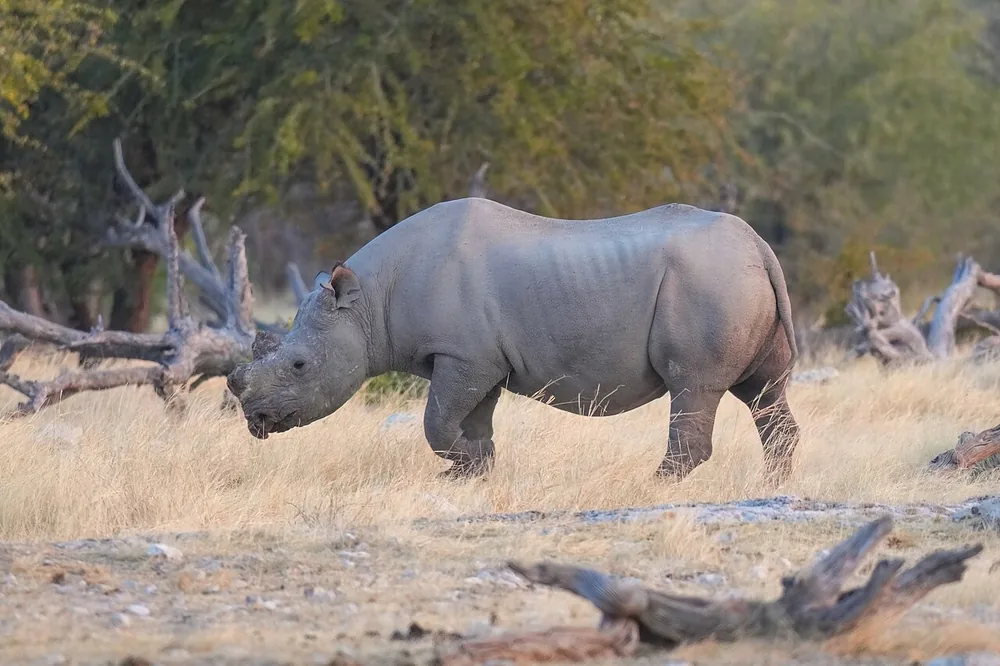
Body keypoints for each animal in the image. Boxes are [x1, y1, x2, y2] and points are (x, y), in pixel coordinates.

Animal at [227, 198, 800, 481]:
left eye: (299, 366)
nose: (255, 420)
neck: (367, 303)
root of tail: (758, 245)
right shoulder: (477, 359)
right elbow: (470, 418)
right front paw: (472, 471)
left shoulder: (463, 356)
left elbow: (437, 421)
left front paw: (463, 464)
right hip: (734, 280)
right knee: (763, 392)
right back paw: (773, 485)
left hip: (709, 281)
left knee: (694, 386)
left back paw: (651, 484)